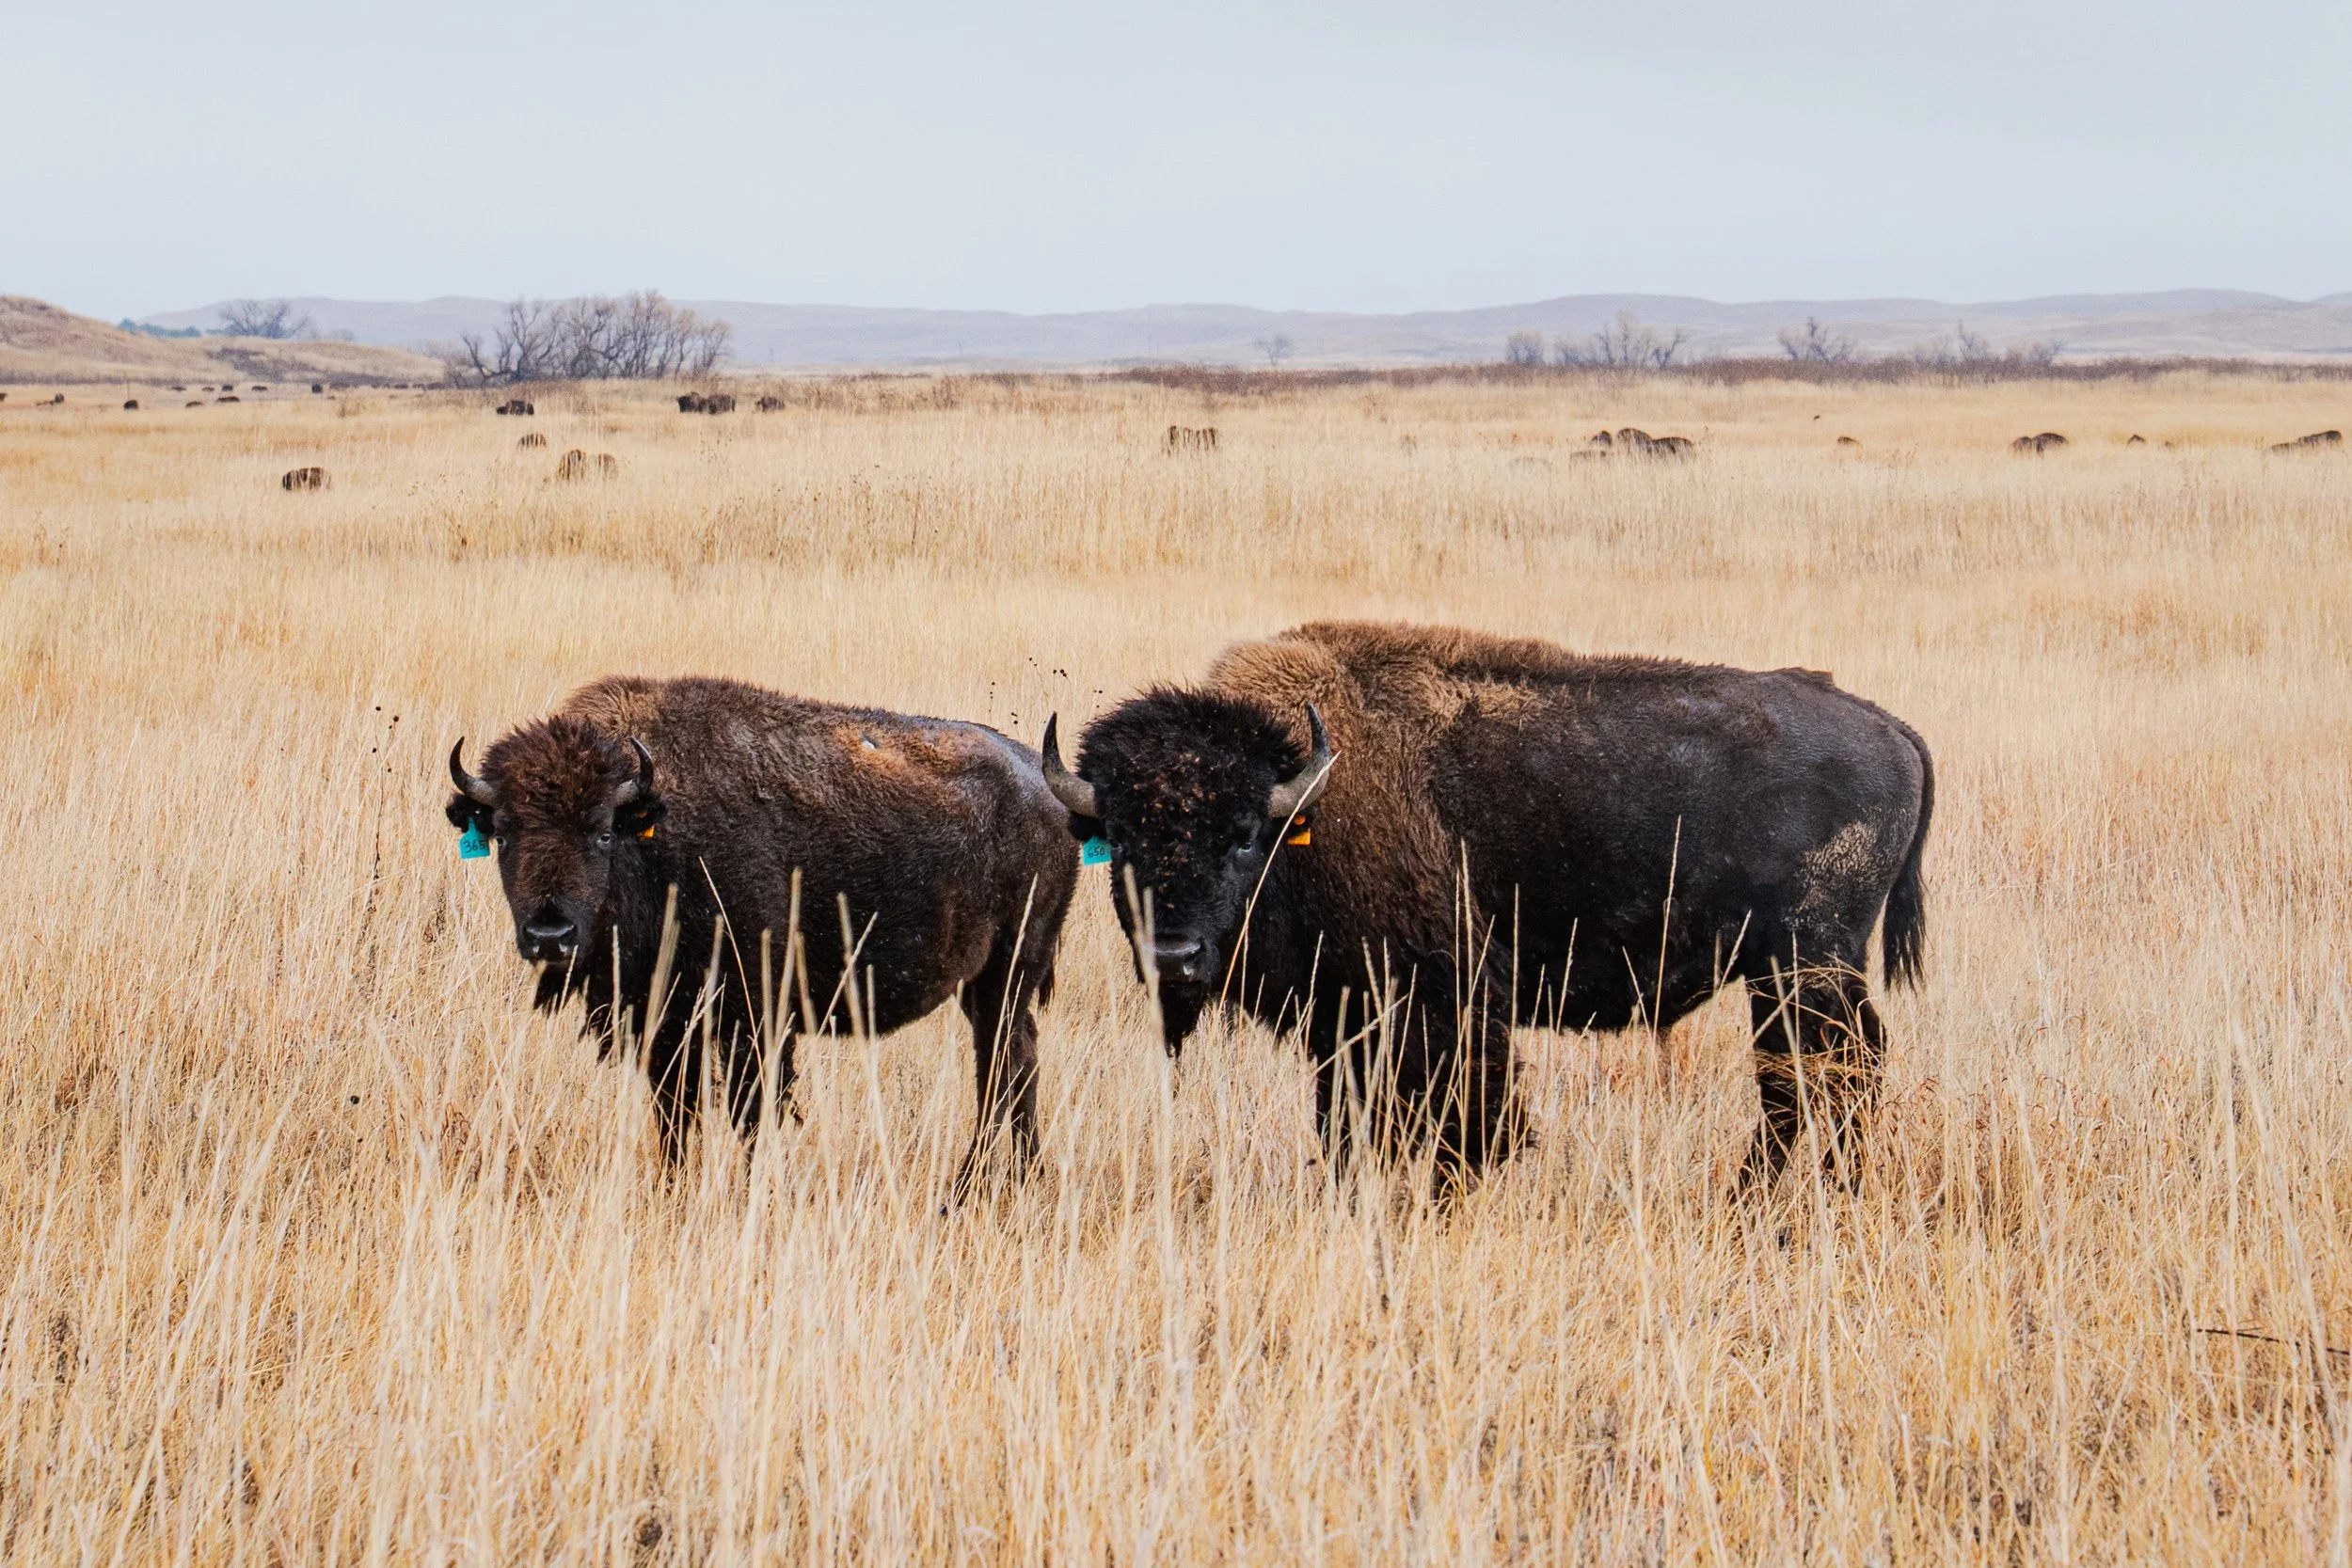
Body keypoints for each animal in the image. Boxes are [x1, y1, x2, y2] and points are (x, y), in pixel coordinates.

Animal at [448, 676, 1079, 1176]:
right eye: (503, 831)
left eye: (603, 831)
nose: (549, 936)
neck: (657, 821)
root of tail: (1045, 785)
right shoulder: (668, 1020)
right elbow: (675, 1112)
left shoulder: (753, 1014)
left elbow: (750, 1111)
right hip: (986, 985)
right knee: (1013, 1066)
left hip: (1009, 975)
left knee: (1005, 1068)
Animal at [1044, 621, 1931, 1187]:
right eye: (1121, 839)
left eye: (1237, 837)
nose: (1174, 956)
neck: (1305, 800)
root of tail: (1888, 727)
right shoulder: (1344, 1018)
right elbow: (1346, 1122)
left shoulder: (1443, 1001)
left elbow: (1465, 1116)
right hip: (1780, 974)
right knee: (1799, 1080)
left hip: (1812, 964)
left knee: (1835, 1073)